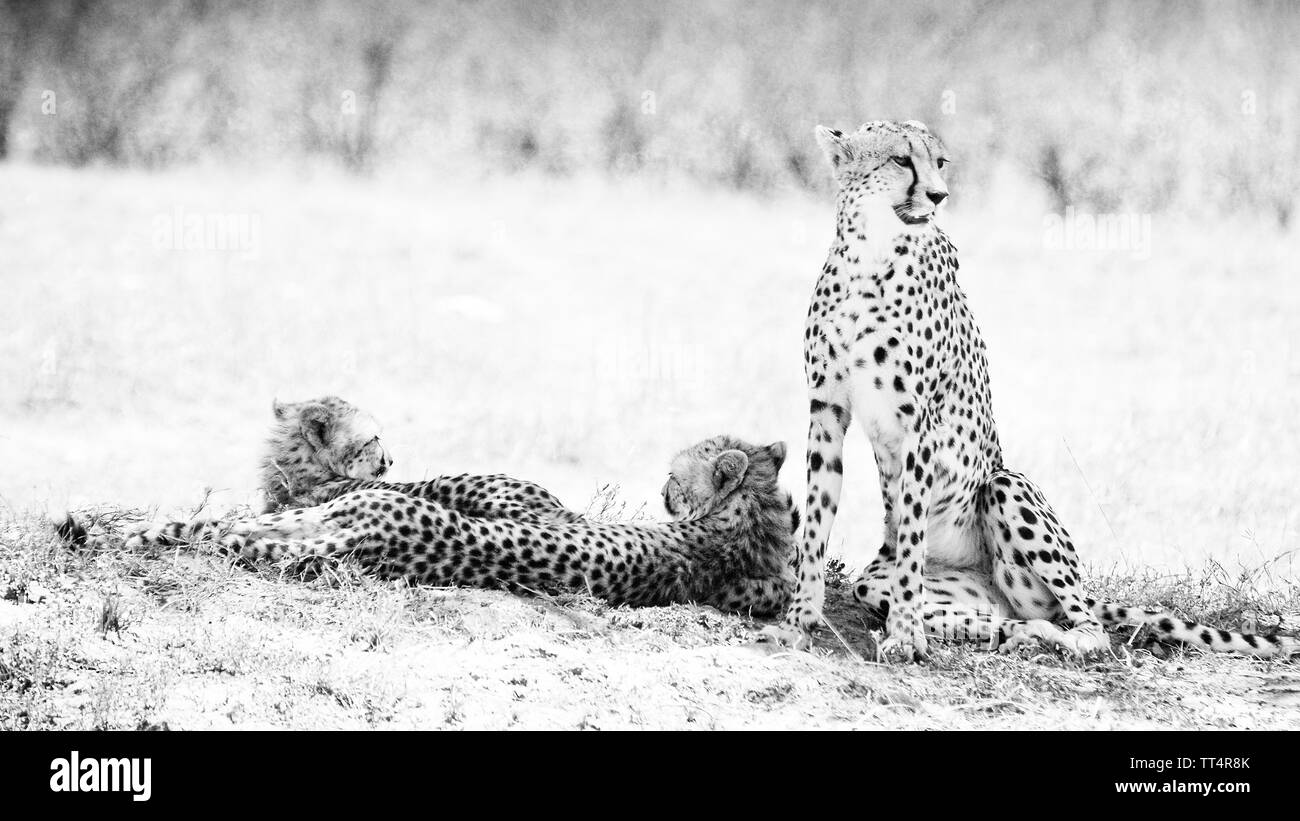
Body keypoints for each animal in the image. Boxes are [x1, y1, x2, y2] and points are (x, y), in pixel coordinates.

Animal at [764, 120, 1294, 659]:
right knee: (992, 615)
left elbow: (911, 538)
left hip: (1005, 486)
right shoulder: (827, 411)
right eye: (900, 159)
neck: (869, 254)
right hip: (887, 584)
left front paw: (906, 638)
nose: (939, 195)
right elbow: (817, 526)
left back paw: (1052, 637)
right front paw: (798, 623)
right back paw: (1017, 633)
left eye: (940, 162)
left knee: (1091, 628)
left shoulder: (919, 424)